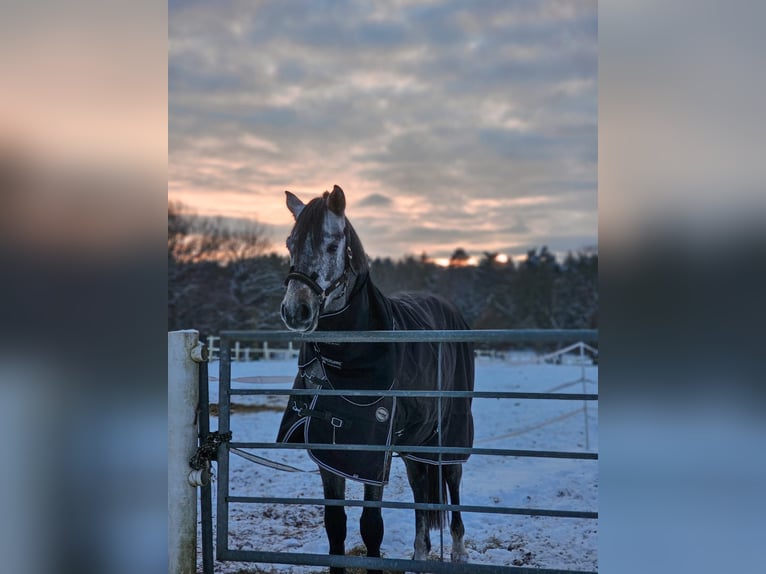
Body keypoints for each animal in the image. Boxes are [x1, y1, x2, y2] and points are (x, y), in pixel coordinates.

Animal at [276, 187, 474, 572]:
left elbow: (371, 525)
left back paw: (458, 550)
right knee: (420, 490)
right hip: (416, 441)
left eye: (332, 245)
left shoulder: (373, 456)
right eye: (290, 244)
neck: (345, 366)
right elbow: (335, 524)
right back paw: (420, 553)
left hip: (449, 432)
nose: (296, 311)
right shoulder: (329, 454)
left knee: (453, 482)